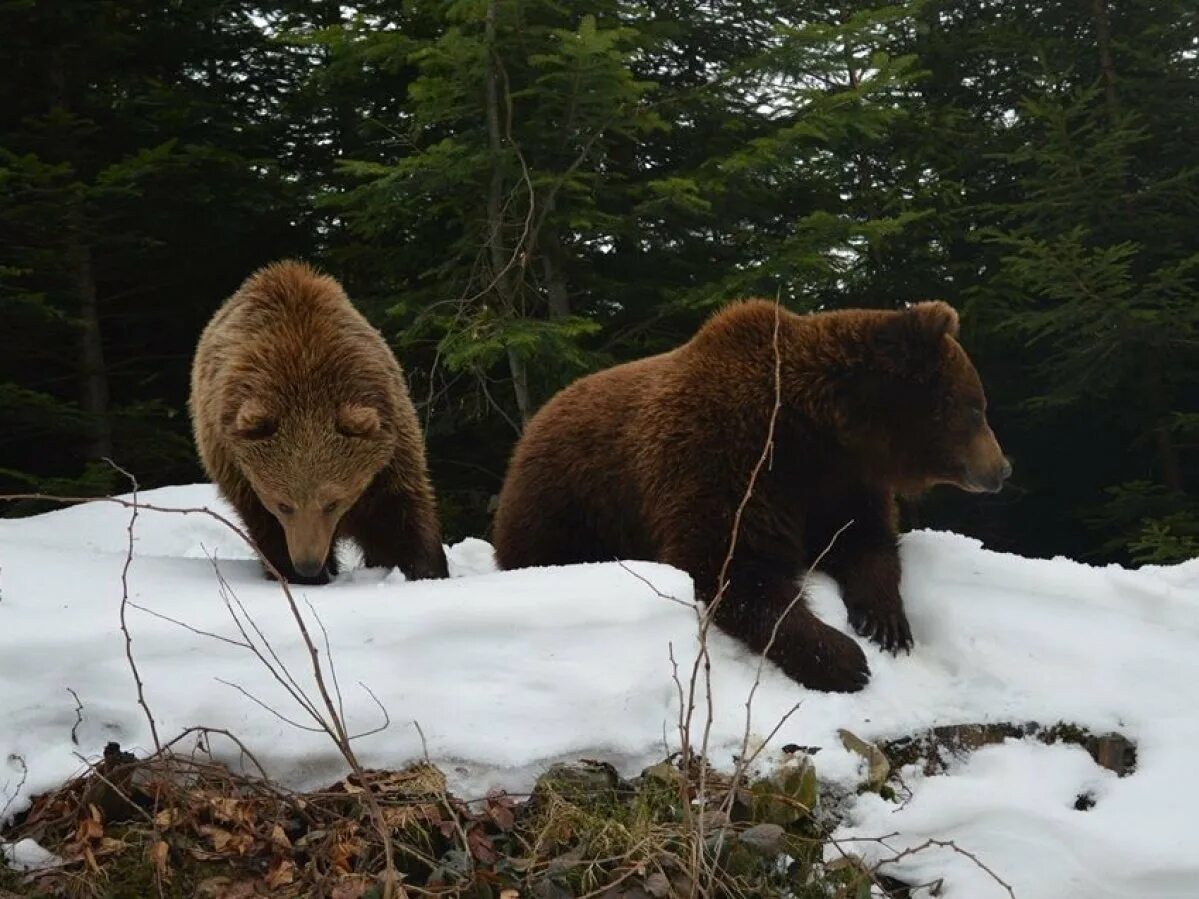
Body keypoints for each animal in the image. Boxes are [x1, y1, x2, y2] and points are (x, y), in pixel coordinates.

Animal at [189, 260, 448, 584]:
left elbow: (398, 512)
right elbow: (264, 522)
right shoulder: (237, 466)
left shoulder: (389, 449)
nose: (308, 564)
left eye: (332, 502)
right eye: (283, 504)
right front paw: (293, 572)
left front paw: (424, 569)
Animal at [491, 299, 1007, 695]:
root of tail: (535, 423)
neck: (813, 429)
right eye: (975, 406)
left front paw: (886, 623)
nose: (1002, 469)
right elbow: (733, 565)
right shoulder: (729, 457)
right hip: (569, 501)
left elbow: (865, 539)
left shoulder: (838, 482)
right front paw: (843, 660)